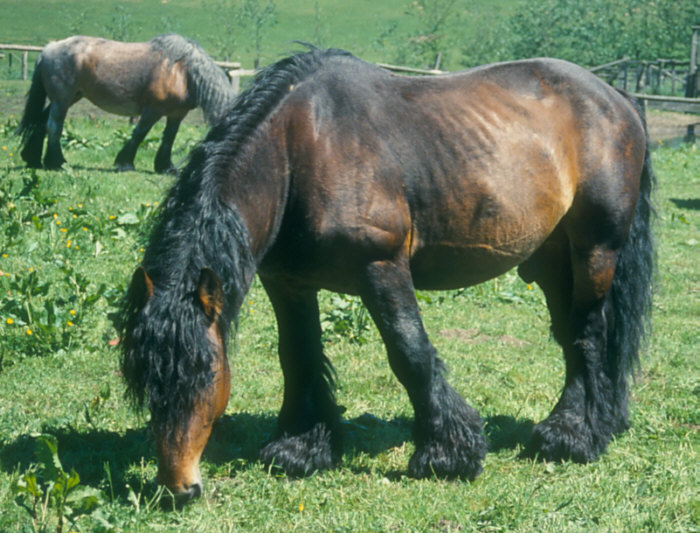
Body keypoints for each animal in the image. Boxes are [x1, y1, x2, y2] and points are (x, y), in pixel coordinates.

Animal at [14, 33, 235, 174]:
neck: (182, 72)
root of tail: (48, 49)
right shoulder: (152, 110)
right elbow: (139, 134)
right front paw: (125, 163)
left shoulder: (177, 113)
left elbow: (168, 139)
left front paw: (166, 167)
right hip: (62, 100)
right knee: (54, 127)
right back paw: (56, 162)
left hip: (70, 98)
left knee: (41, 123)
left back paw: (33, 159)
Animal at [119, 48, 656, 502]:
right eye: (143, 379)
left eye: (206, 372)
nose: (178, 487)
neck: (302, 147)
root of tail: (615, 98)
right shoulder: (289, 283)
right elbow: (298, 356)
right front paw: (301, 446)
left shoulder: (380, 268)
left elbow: (410, 353)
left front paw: (448, 453)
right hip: (550, 262)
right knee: (574, 337)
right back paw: (588, 423)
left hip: (595, 251)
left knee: (589, 334)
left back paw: (574, 437)